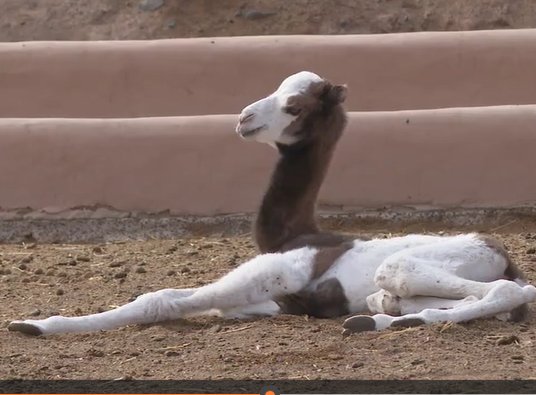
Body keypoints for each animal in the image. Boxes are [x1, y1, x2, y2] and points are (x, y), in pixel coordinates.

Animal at [8, 71, 536, 338]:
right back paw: (379, 317)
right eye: (277, 86)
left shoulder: (278, 273)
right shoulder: (268, 300)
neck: (295, 233)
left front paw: (35, 324)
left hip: (404, 267)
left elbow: (160, 299)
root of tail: (500, 252)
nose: (244, 118)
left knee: (505, 292)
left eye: (295, 106)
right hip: (412, 283)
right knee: (491, 298)